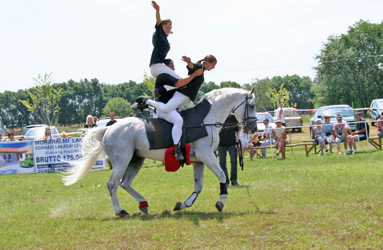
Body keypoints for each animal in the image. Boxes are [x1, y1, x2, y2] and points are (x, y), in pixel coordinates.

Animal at [63, 88, 258, 217]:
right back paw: (120, 211)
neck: (205, 120)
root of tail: (108, 129)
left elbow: (198, 186)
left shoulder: (199, 161)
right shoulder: (207, 156)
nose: (253, 128)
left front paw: (183, 204)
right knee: (112, 184)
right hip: (122, 160)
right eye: (252, 105)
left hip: (136, 160)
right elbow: (222, 175)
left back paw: (143, 203)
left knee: (125, 183)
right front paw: (220, 202)